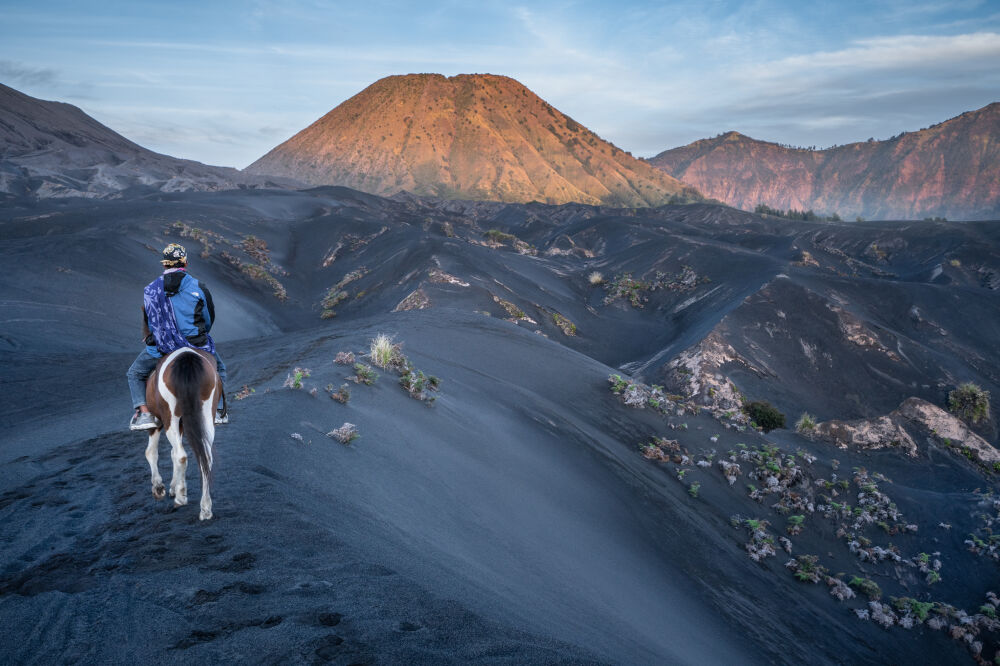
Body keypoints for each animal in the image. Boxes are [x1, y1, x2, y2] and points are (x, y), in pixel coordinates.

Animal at [144, 348, 222, 520]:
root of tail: (187, 358)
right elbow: (172, 453)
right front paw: (175, 486)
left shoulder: (156, 423)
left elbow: (151, 452)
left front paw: (159, 487)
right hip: (206, 415)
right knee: (205, 457)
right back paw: (205, 508)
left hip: (170, 418)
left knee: (181, 455)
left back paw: (181, 498)